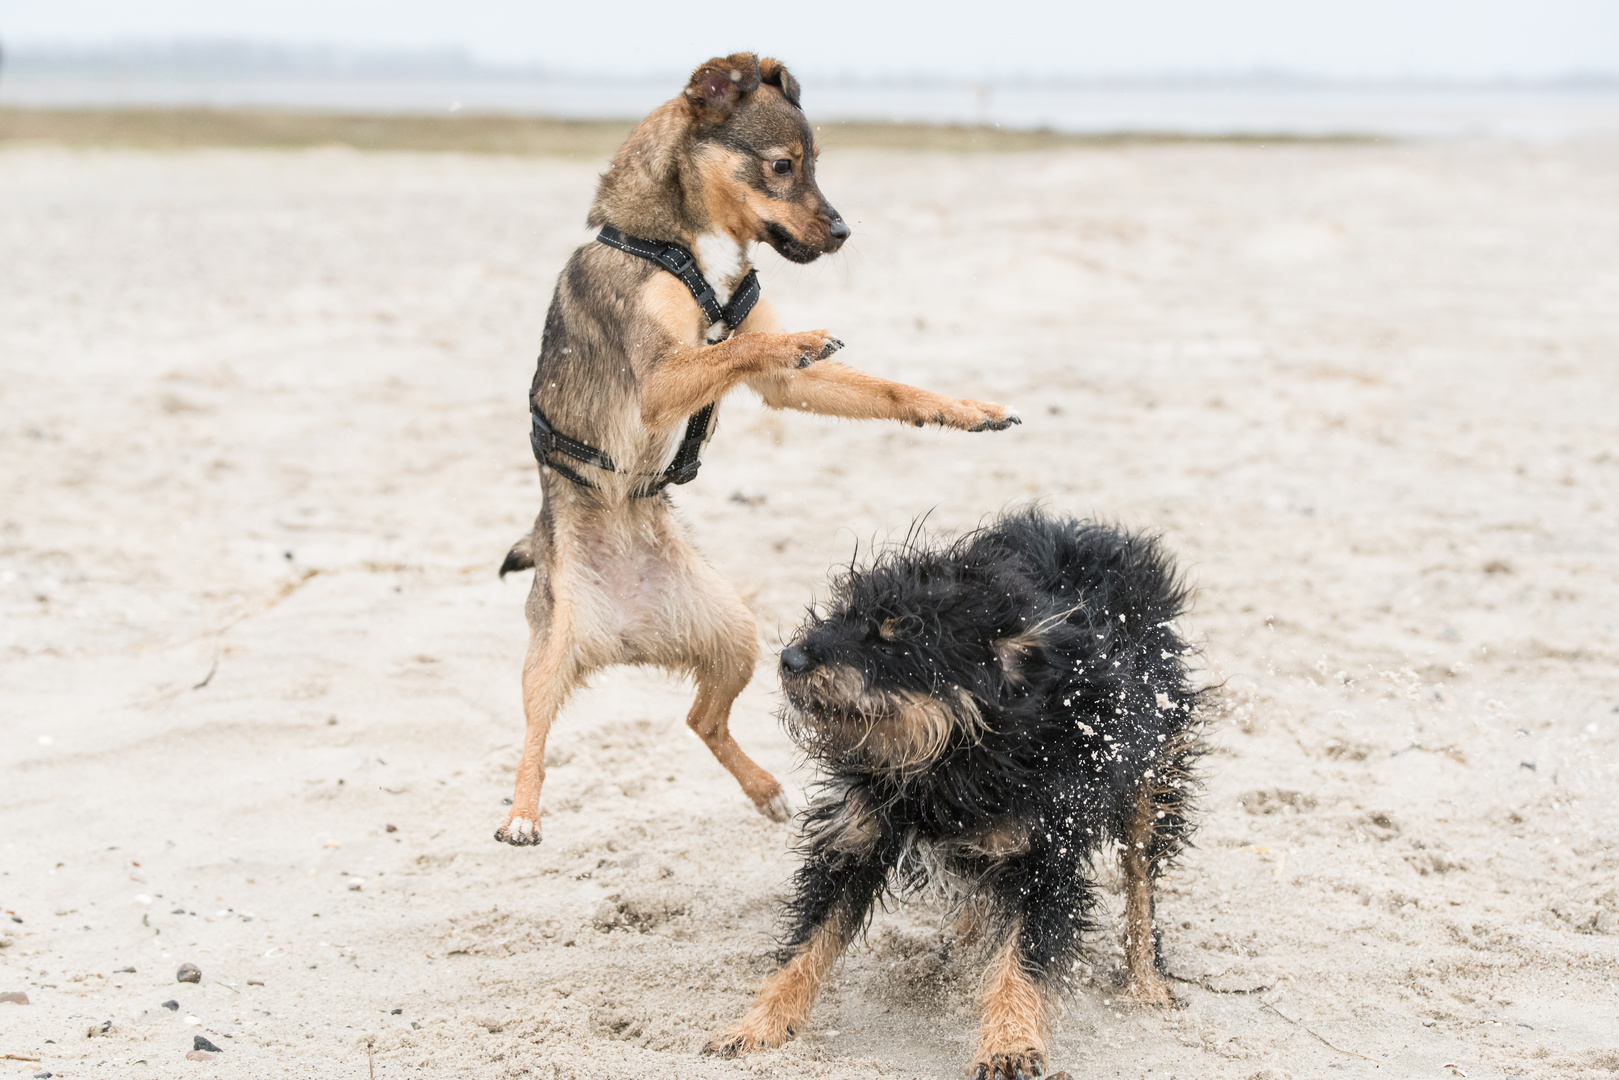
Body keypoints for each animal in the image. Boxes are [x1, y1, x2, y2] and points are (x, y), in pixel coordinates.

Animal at [498, 55, 1016, 848]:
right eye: (782, 166)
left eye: (816, 163)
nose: (843, 231)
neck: (681, 244)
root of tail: (626, 637)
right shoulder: (656, 384)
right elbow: (736, 346)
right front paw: (803, 335)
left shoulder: (779, 386)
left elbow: (878, 386)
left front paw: (964, 410)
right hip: (551, 648)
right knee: (534, 732)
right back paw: (522, 813)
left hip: (734, 636)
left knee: (699, 718)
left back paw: (767, 790)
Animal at [702, 514, 1211, 1080]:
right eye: (843, 614)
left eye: (895, 639)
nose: (789, 657)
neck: (953, 758)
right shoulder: (860, 833)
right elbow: (809, 941)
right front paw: (759, 1025)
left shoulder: (1045, 856)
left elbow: (1023, 958)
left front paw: (1009, 1043)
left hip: (1150, 777)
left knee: (1141, 883)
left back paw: (1147, 982)